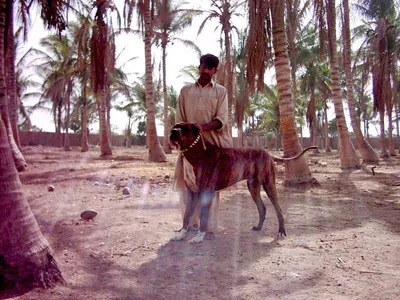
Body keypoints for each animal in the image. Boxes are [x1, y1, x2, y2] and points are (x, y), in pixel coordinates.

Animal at [170, 123, 318, 243]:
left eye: (184, 128)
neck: (198, 153)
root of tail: (267, 153)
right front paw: (181, 235)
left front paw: (199, 237)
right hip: (253, 187)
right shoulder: (192, 193)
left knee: (278, 209)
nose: (172, 131)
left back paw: (281, 231)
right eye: (176, 126)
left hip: (269, 184)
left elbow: (204, 216)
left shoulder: (207, 193)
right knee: (262, 208)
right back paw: (258, 227)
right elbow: (186, 215)